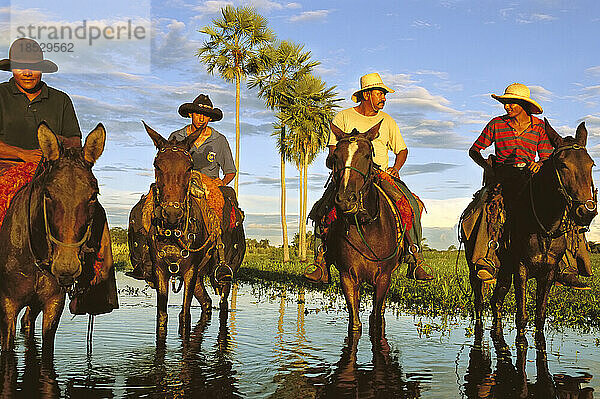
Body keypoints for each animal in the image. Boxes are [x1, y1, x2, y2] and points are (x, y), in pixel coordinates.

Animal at [137, 123, 245, 340]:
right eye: (157, 165)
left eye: (189, 167)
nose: (172, 213)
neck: (173, 233)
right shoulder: (160, 269)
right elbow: (162, 316)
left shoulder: (190, 270)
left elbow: (184, 316)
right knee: (206, 303)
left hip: (224, 276)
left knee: (222, 305)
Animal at [328, 121, 408, 332]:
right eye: (335, 156)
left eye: (366, 156)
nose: (346, 199)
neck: (365, 225)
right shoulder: (347, 277)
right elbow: (355, 323)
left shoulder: (383, 278)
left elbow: (376, 320)